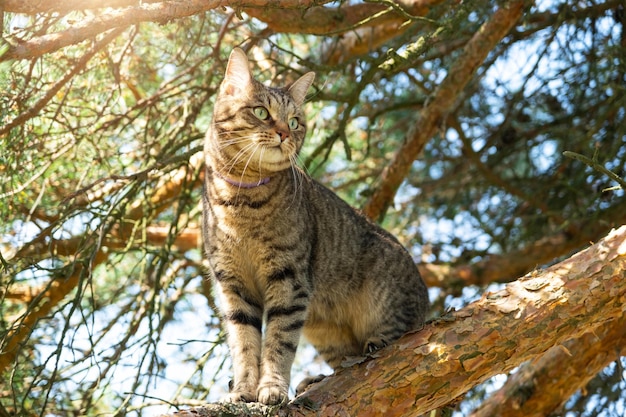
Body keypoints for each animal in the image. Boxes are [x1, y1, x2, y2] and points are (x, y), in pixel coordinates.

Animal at [202, 48, 426, 404]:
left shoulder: (289, 279)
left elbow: (279, 342)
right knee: (345, 358)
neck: (242, 200)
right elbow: (244, 343)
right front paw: (244, 388)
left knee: (397, 334)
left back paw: (376, 344)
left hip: (385, 294)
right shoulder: (232, 285)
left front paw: (272, 387)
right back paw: (317, 379)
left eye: (294, 122)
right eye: (262, 112)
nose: (284, 133)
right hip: (323, 329)